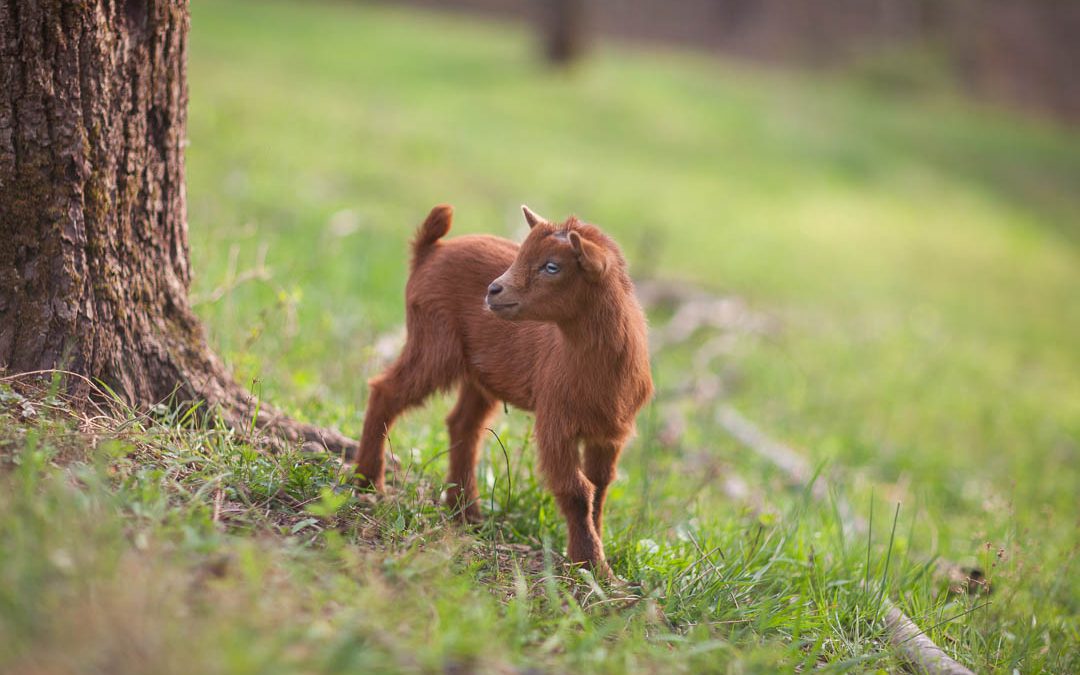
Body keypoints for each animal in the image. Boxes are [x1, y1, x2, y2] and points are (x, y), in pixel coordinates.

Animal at [358, 204, 652, 570]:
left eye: (552, 266)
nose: (493, 290)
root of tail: (430, 250)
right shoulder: (555, 423)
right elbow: (576, 491)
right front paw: (590, 562)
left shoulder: (610, 433)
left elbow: (599, 487)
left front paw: (593, 557)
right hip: (433, 340)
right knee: (386, 392)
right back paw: (369, 482)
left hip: (479, 373)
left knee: (463, 425)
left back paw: (466, 513)